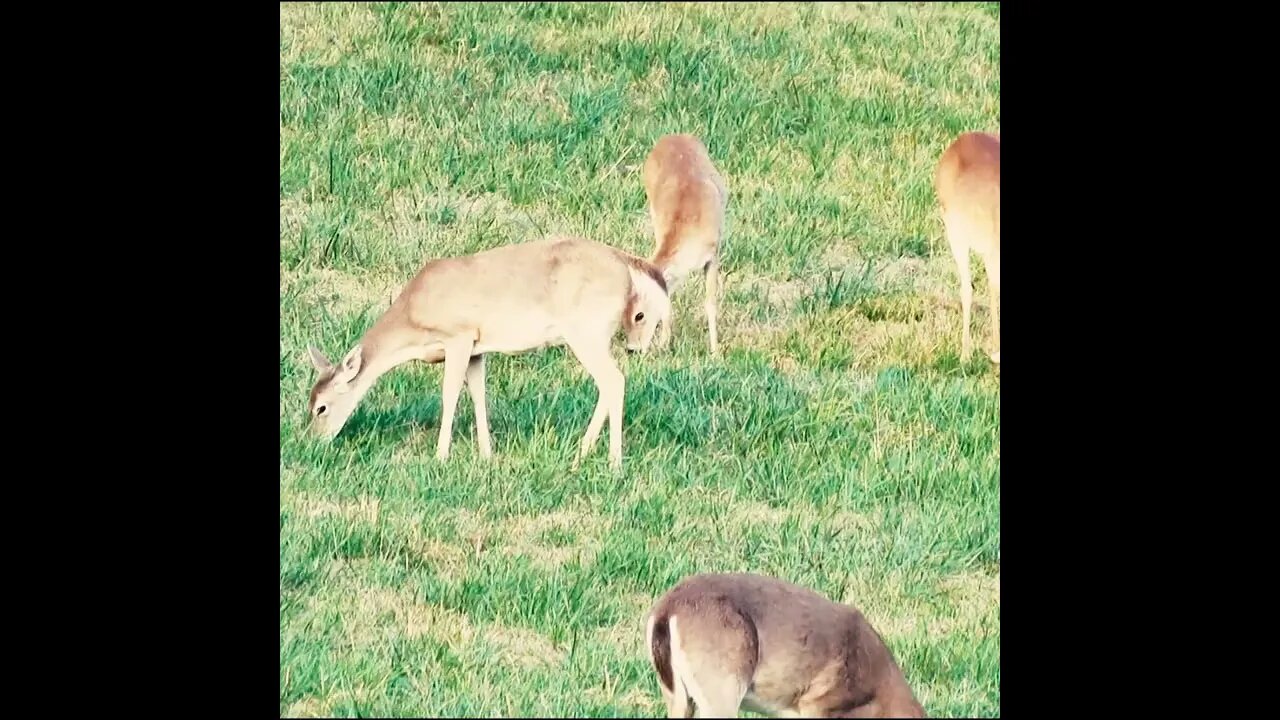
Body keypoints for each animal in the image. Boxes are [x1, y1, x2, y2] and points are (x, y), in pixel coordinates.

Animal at [304, 235, 672, 470]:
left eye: (321, 407)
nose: (314, 442)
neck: (413, 320)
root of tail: (627, 265)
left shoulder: (459, 335)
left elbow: (450, 393)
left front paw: (441, 456)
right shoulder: (477, 349)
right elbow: (479, 393)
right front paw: (486, 454)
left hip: (585, 329)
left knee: (614, 380)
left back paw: (609, 461)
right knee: (609, 383)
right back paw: (584, 454)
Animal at [642, 133, 729, 355]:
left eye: (640, 314)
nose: (634, 350)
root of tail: (673, 136)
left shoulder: (713, 255)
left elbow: (710, 303)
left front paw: (715, 352)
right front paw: (664, 344)